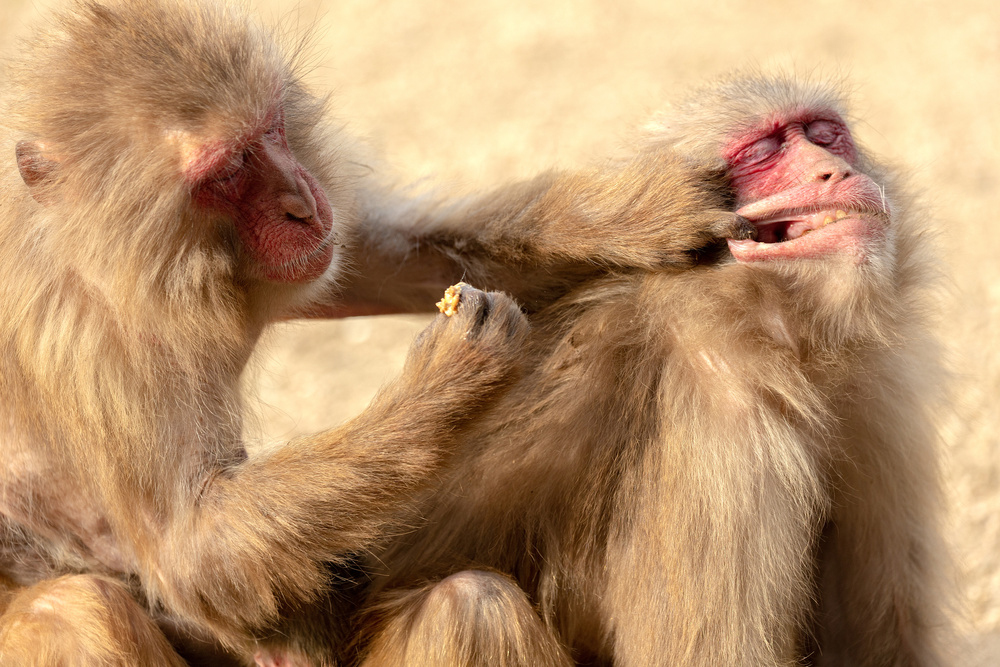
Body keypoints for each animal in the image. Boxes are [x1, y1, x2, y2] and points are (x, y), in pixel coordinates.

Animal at [0, 2, 752, 664]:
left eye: (273, 128)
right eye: (230, 169)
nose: (302, 205)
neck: (109, 253)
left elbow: (371, 257)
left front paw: (637, 215)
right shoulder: (99, 346)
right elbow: (193, 555)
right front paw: (449, 381)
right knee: (75, 609)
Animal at [356, 73, 948, 667]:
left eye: (825, 135)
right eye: (763, 152)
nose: (835, 171)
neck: (774, 332)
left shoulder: (878, 392)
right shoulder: (720, 426)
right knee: (469, 604)